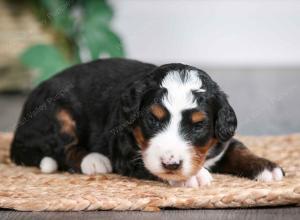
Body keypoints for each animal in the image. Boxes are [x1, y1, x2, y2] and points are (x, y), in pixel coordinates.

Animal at [10, 58, 284, 187]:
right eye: (153, 119)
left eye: (198, 125)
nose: (171, 164)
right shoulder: (126, 152)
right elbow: (149, 165)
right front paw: (192, 177)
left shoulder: (221, 140)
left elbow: (238, 148)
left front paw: (266, 166)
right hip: (56, 112)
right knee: (63, 147)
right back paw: (94, 160)